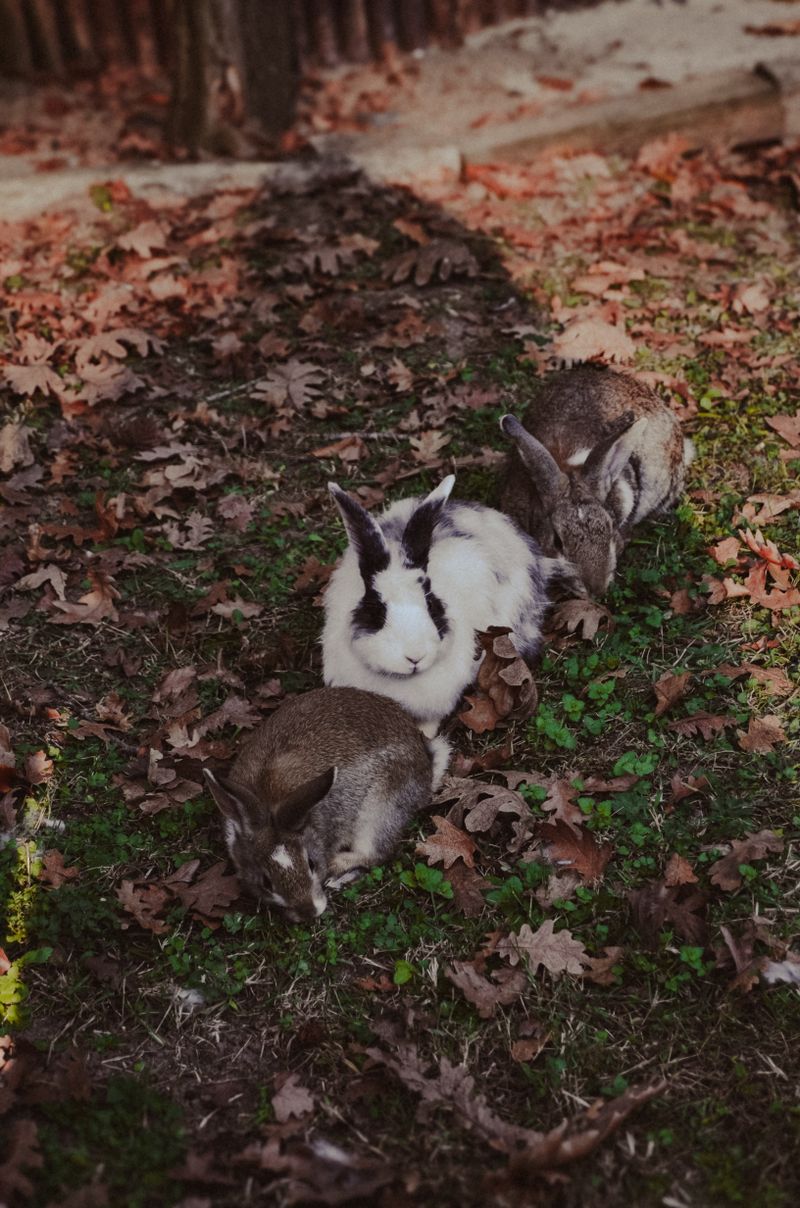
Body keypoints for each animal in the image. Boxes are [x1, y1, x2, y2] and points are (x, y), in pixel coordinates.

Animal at [203, 687, 436, 923]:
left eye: (311, 864)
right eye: (266, 883)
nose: (310, 912)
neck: (270, 800)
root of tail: (426, 765)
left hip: (379, 809)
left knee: (375, 853)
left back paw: (336, 869)